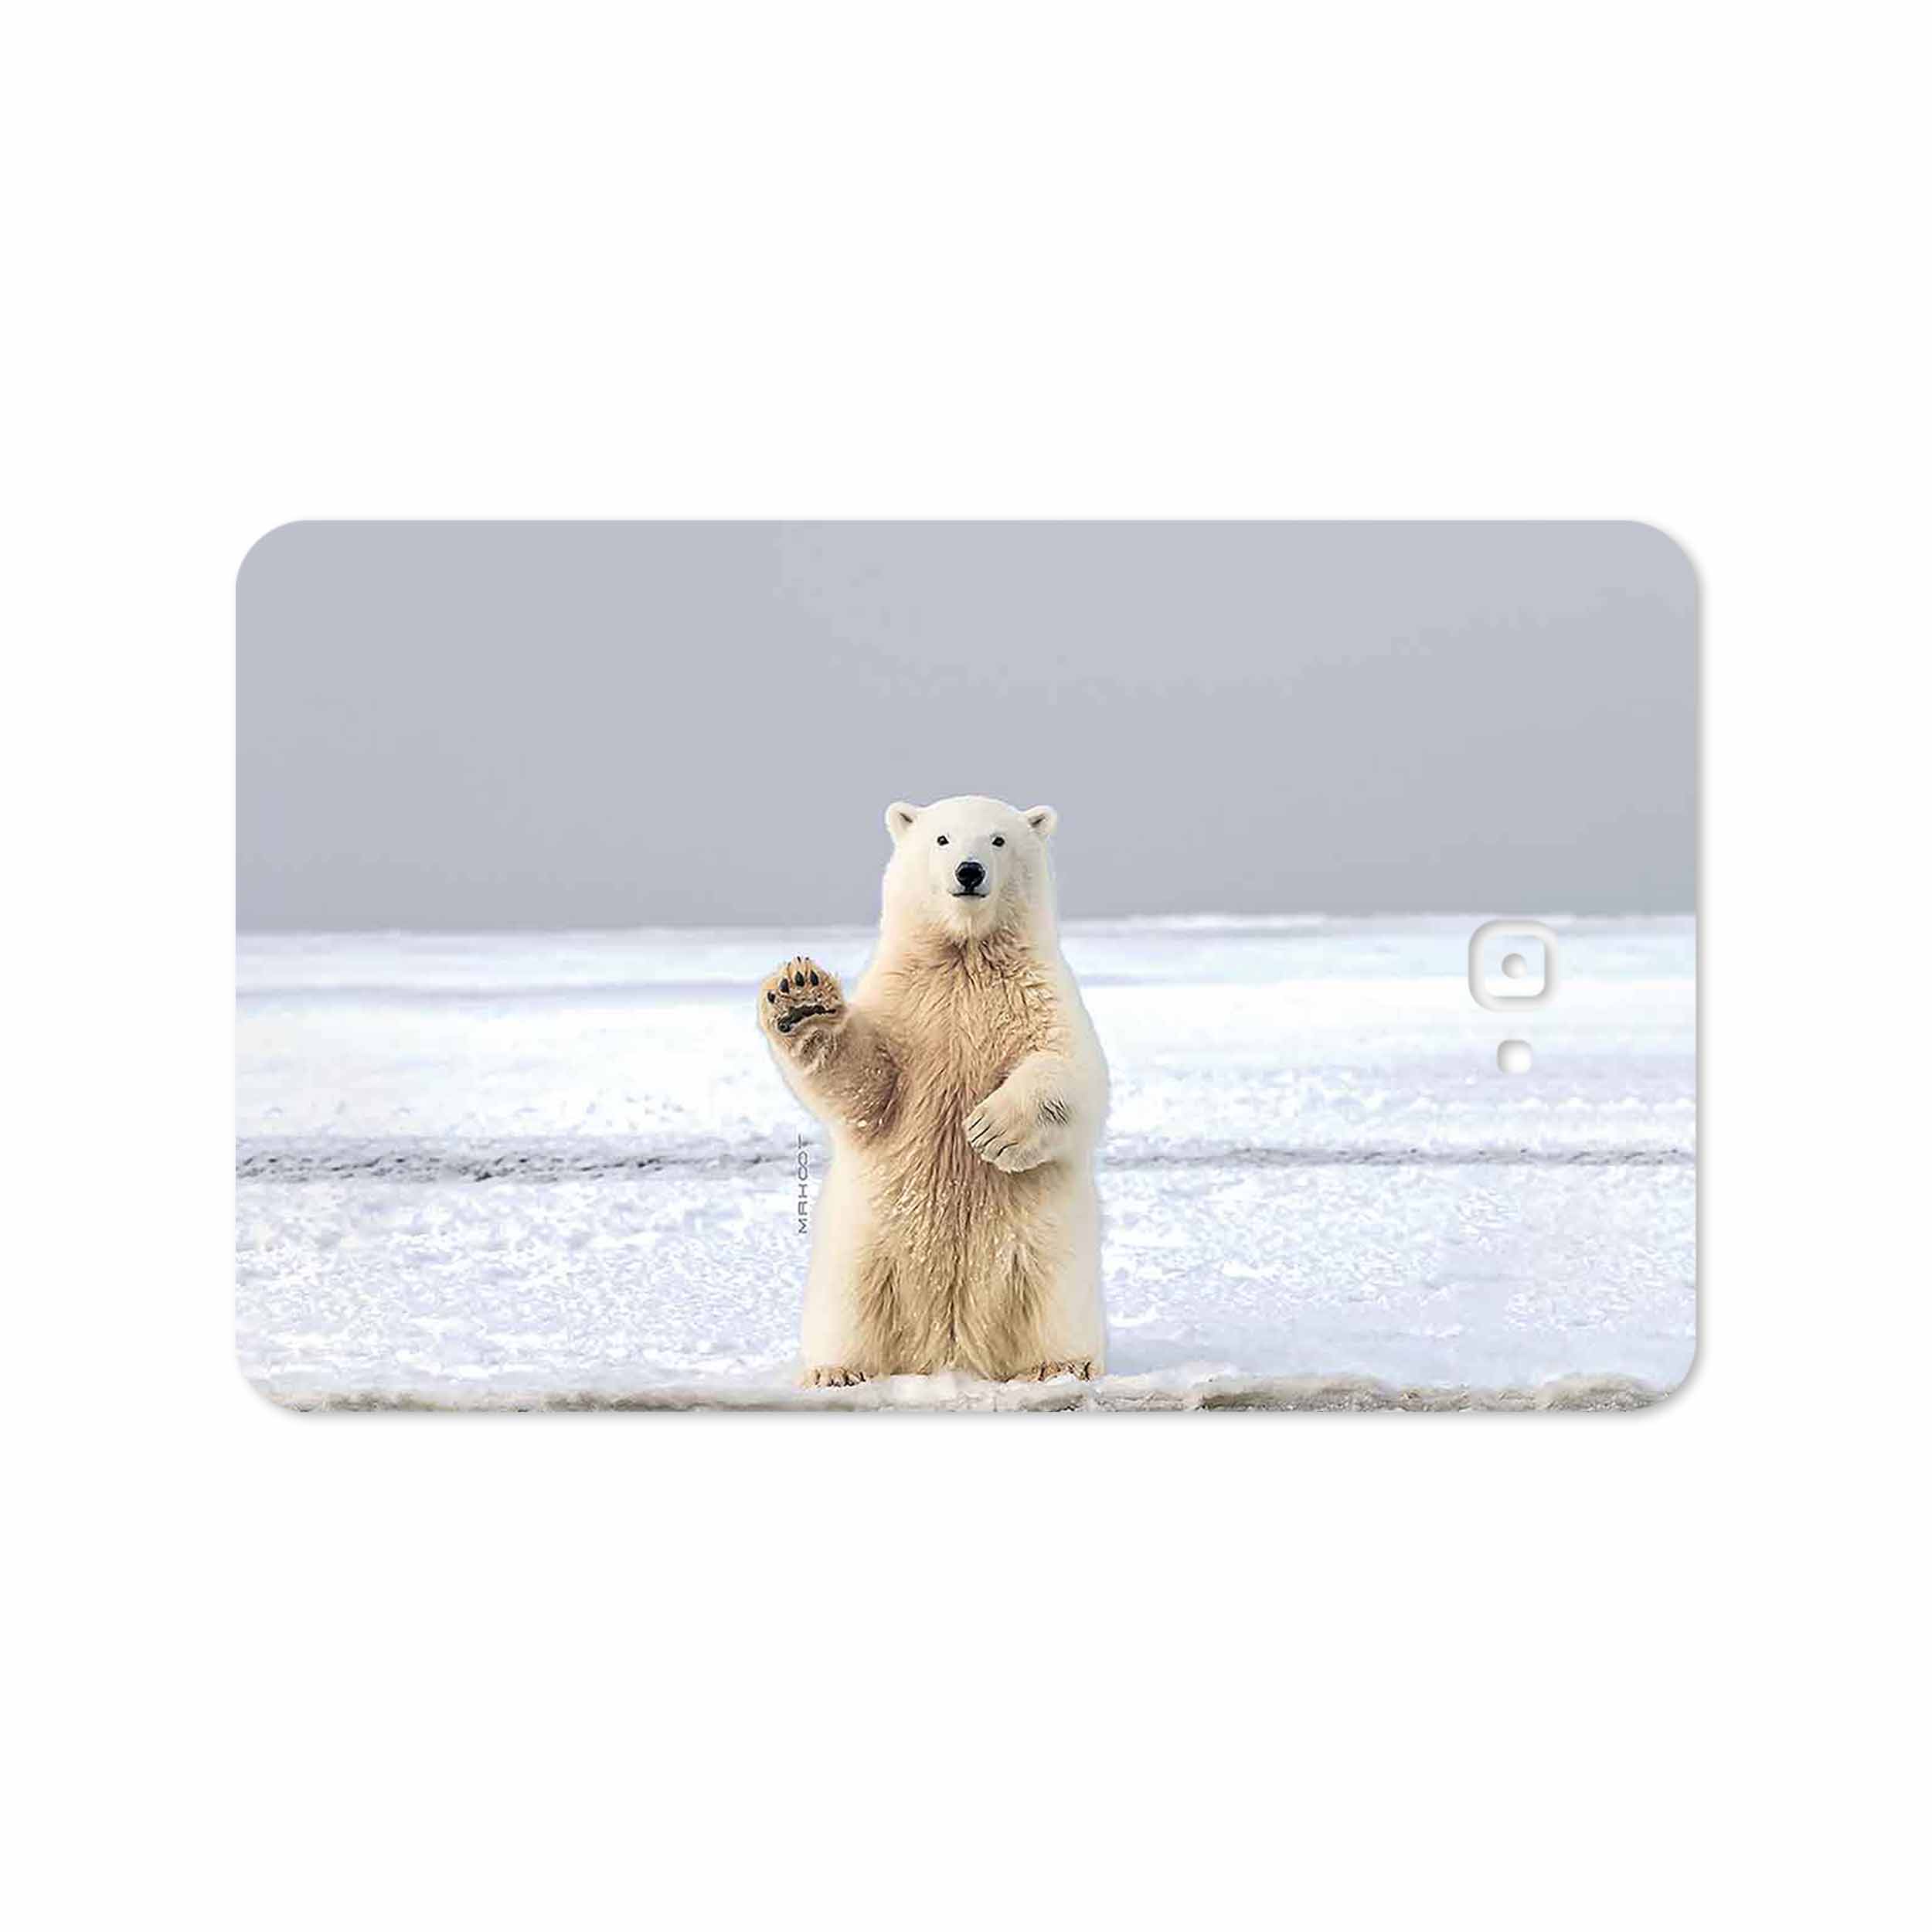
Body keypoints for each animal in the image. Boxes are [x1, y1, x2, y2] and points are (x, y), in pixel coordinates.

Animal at [758, 795, 1109, 1387]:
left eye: (998, 839)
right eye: (942, 839)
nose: (969, 872)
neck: (965, 956)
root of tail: (950, 1350)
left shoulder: (1040, 994)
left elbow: (1074, 1071)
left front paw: (990, 1129)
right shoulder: (906, 1004)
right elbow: (867, 1084)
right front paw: (801, 999)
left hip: (1049, 1249)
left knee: (1055, 1299)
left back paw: (1061, 1365)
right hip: (862, 1247)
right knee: (848, 1306)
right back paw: (837, 1371)